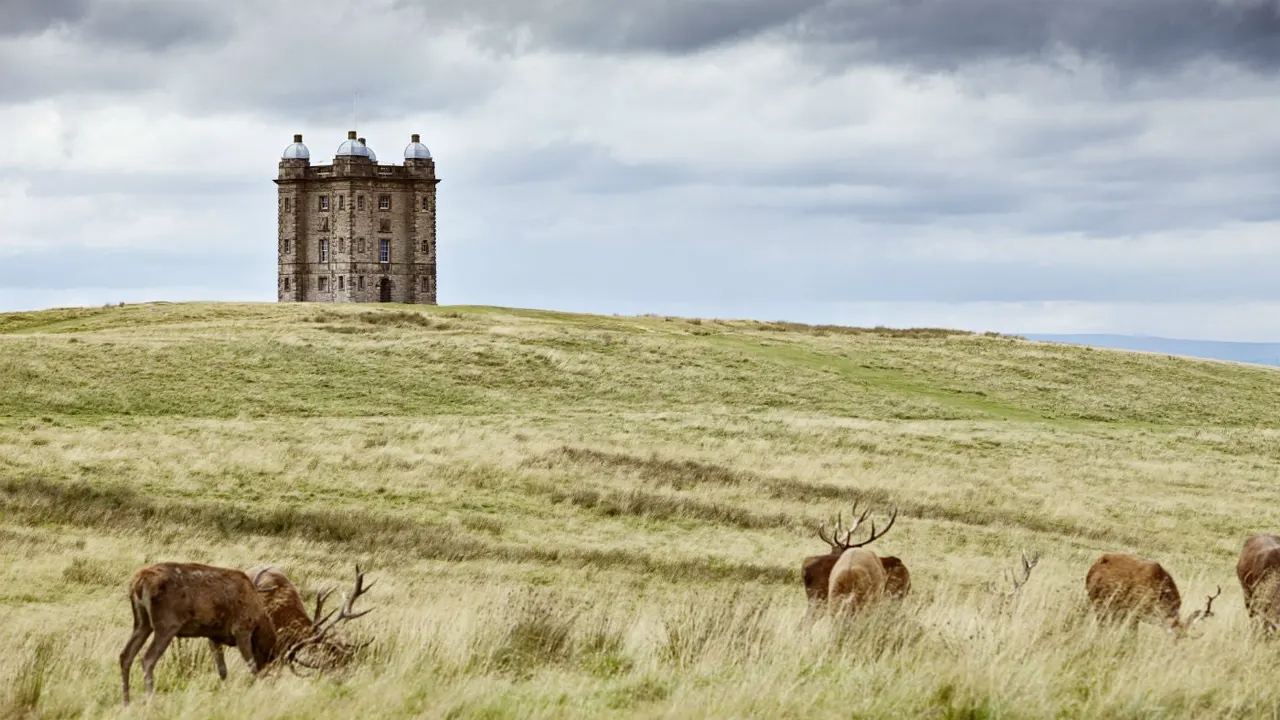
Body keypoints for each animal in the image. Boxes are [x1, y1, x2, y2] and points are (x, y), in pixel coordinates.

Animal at [1084, 552, 1220, 637]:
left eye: (1182, 638)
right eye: (1173, 636)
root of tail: (1094, 565)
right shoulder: (1134, 612)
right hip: (1097, 601)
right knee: (1100, 623)